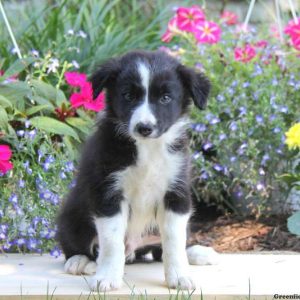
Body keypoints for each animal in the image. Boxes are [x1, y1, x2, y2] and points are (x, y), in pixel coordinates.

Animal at [56, 50, 216, 292]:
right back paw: (80, 261)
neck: (147, 149)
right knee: (76, 243)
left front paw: (179, 276)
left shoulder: (176, 192)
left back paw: (197, 252)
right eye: (128, 96)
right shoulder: (108, 192)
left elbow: (174, 240)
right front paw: (107, 278)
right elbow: (112, 242)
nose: (144, 128)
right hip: (72, 214)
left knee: (164, 248)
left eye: (166, 98)